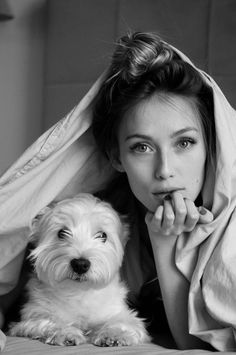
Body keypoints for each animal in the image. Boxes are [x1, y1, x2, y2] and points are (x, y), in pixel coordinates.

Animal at [8, 193, 151, 346]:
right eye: (62, 233)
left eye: (103, 235)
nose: (80, 264)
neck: (79, 292)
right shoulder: (32, 314)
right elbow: (48, 321)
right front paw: (65, 332)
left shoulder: (118, 312)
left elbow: (124, 322)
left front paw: (114, 334)